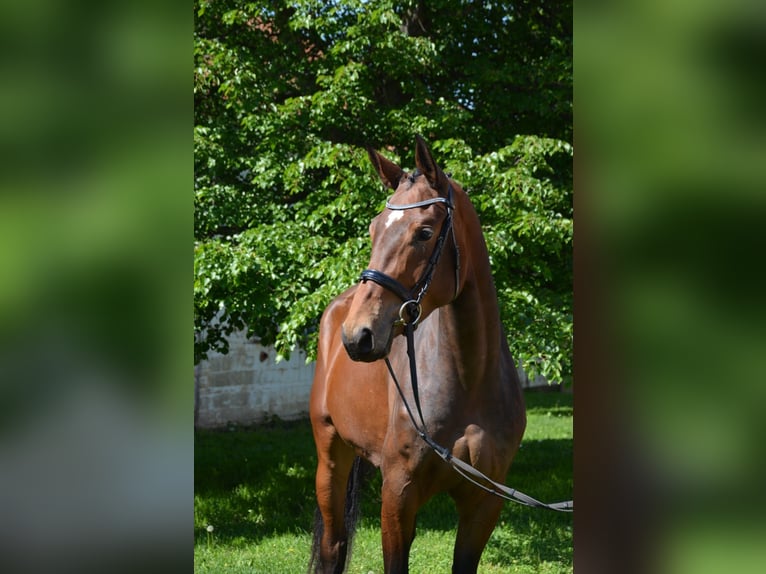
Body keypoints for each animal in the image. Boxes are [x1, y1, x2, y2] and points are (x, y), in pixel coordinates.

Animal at [308, 137, 524, 572]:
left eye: (424, 232)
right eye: (373, 229)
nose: (358, 335)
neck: (470, 380)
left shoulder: (484, 503)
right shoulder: (398, 495)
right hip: (330, 457)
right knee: (333, 546)